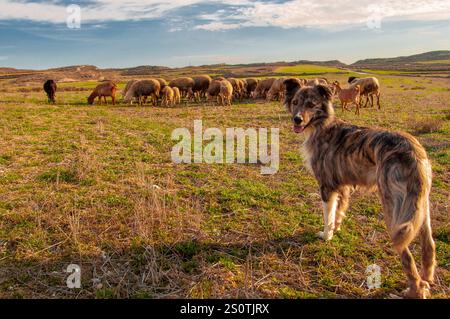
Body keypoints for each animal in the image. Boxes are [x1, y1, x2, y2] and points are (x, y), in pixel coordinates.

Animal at [284, 78, 436, 300]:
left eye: (311, 104)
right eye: (295, 102)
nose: (296, 120)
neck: (323, 125)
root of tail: (414, 151)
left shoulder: (326, 186)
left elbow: (327, 216)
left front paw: (326, 236)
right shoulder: (343, 186)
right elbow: (338, 212)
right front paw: (336, 229)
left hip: (395, 213)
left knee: (407, 257)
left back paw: (413, 291)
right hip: (420, 209)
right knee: (429, 246)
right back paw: (426, 280)